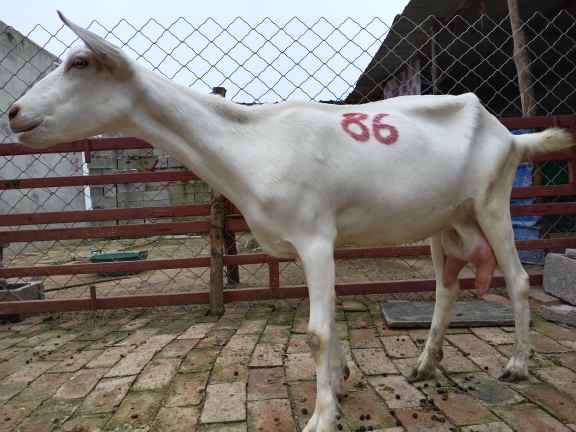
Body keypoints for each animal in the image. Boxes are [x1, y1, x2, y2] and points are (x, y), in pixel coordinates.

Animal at [10, 12, 576, 432]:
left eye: (80, 61)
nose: (14, 112)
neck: (250, 143)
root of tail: (511, 137)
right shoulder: (315, 244)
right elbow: (330, 321)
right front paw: (342, 379)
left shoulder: (315, 236)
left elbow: (316, 332)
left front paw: (322, 415)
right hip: (447, 220)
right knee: (445, 287)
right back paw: (423, 364)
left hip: (493, 202)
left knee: (518, 279)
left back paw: (517, 365)